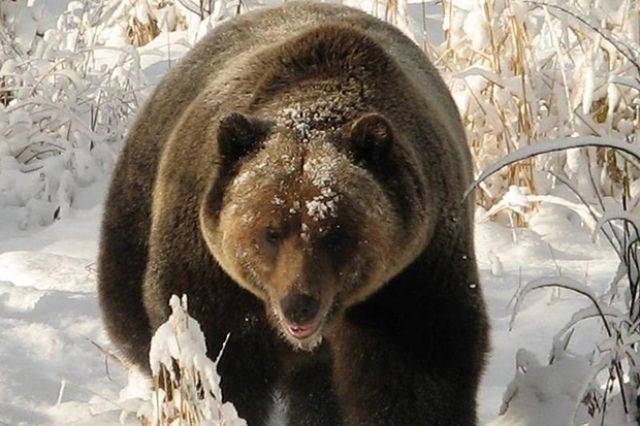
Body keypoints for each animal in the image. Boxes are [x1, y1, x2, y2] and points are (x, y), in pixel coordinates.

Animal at [97, 1, 490, 424]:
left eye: (335, 233)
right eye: (270, 232)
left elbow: (416, 376)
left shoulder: (411, 274)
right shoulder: (210, 272)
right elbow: (215, 361)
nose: (299, 304)